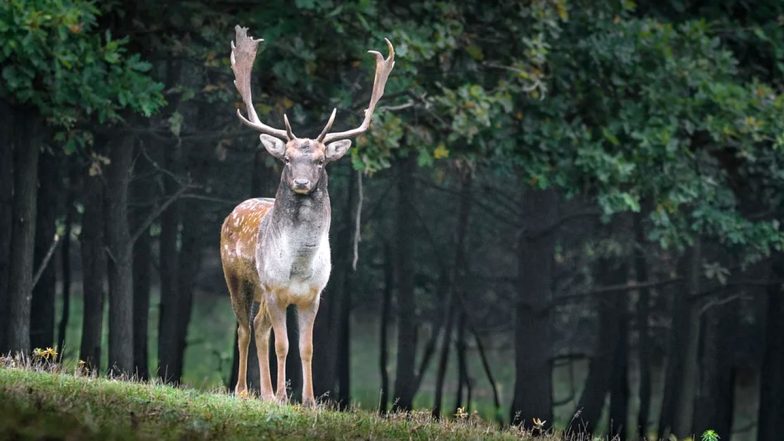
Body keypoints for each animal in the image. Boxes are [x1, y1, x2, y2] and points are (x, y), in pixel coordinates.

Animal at [220, 25, 394, 406]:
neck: (298, 266)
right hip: (237, 279)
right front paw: (283, 397)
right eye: (286, 159)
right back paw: (244, 390)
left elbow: (307, 347)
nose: (301, 183)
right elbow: (283, 345)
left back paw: (264, 393)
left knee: (258, 328)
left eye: (320, 161)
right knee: (244, 328)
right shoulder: (275, 289)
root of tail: (233, 212)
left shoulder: (313, 295)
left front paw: (309, 401)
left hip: (262, 294)